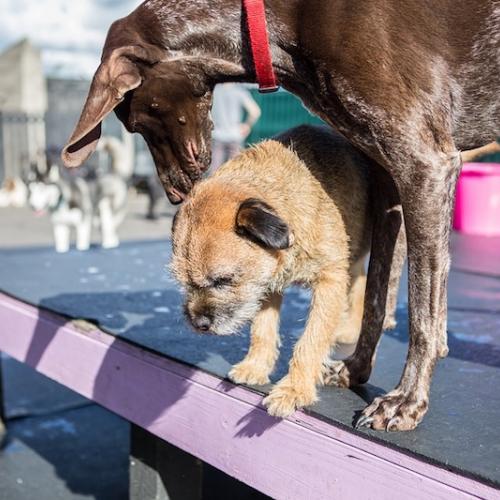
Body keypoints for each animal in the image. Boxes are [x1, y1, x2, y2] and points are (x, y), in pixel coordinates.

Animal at [170, 125, 400, 418]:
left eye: (223, 280)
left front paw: (294, 390)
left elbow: (311, 340)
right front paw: (255, 366)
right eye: (185, 283)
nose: (199, 324)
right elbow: (262, 329)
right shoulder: (265, 283)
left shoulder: (330, 280)